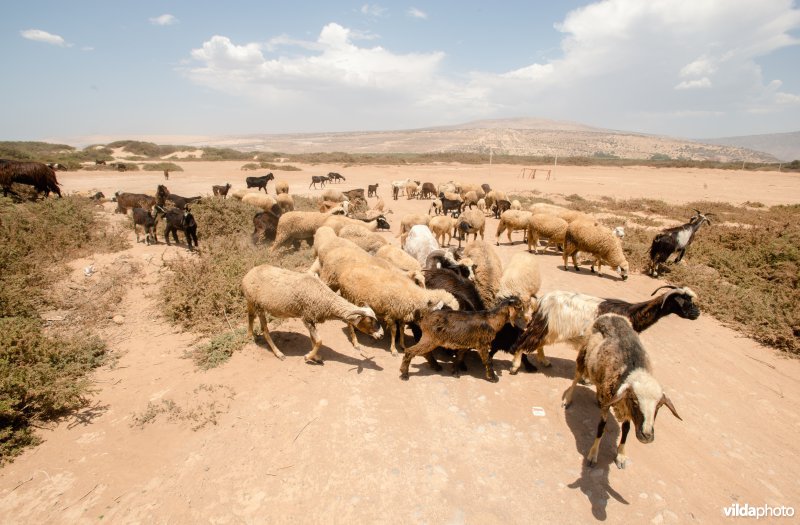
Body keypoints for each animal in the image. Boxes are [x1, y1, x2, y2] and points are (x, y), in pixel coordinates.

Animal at [242, 264, 382, 362]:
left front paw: (315, 357)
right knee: (264, 330)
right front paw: (308, 357)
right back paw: (279, 354)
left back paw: (249, 335)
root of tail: (247, 276)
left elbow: (313, 339)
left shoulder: (309, 317)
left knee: (250, 315)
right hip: (258, 305)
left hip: (252, 302)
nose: (381, 335)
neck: (326, 298)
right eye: (369, 321)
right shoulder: (307, 318)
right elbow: (319, 341)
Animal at [510, 284, 704, 374]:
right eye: (685, 302)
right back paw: (515, 366)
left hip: (547, 329)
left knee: (538, 343)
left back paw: (544, 361)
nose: (697, 314)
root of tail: (541, 301)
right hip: (543, 326)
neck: (632, 314)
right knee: (523, 341)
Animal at [560, 314, 684, 468]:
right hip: (583, 355)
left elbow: (626, 429)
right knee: (576, 377)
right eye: (635, 401)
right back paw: (568, 399)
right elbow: (601, 427)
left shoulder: (624, 406)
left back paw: (598, 398)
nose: (647, 436)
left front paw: (621, 455)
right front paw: (593, 454)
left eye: (659, 406)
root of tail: (612, 315)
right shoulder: (617, 401)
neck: (632, 369)